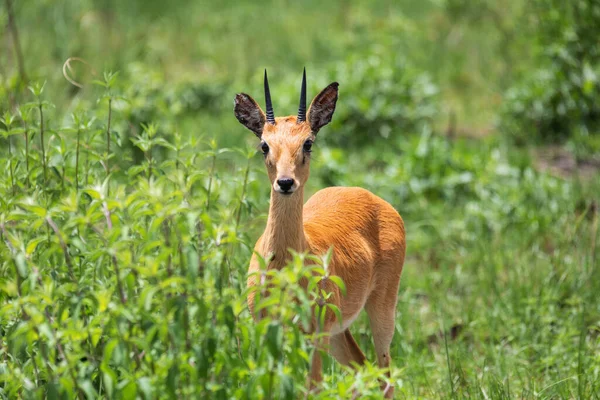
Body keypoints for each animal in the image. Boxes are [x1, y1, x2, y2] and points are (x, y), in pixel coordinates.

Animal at [232, 69, 406, 396]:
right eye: (264, 144)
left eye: (308, 143)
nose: (285, 182)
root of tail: (370, 196)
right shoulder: (266, 331)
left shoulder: (315, 336)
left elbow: (311, 388)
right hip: (339, 333)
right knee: (362, 368)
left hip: (381, 310)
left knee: (385, 375)